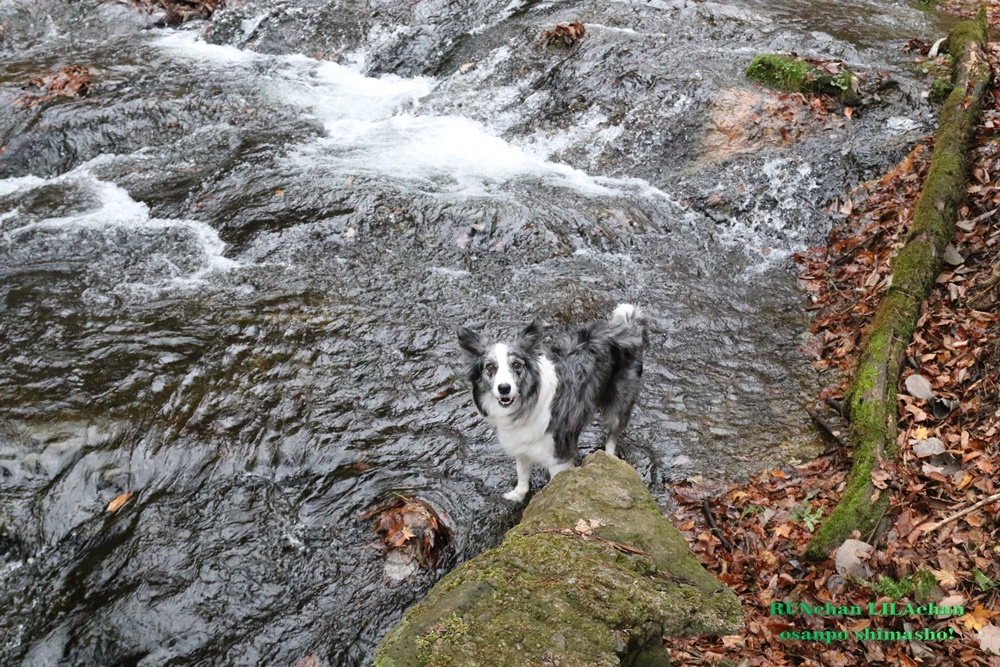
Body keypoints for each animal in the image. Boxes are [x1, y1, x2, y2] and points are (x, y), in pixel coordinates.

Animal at [456, 302, 644, 500]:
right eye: (490, 367)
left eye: (516, 365)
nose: (504, 388)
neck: (527, 404)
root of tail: (628, 327)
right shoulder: (521, 445)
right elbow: (522, 473)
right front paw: (518, 495)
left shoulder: (559, 458)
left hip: (619, 404)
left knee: (612, 437)